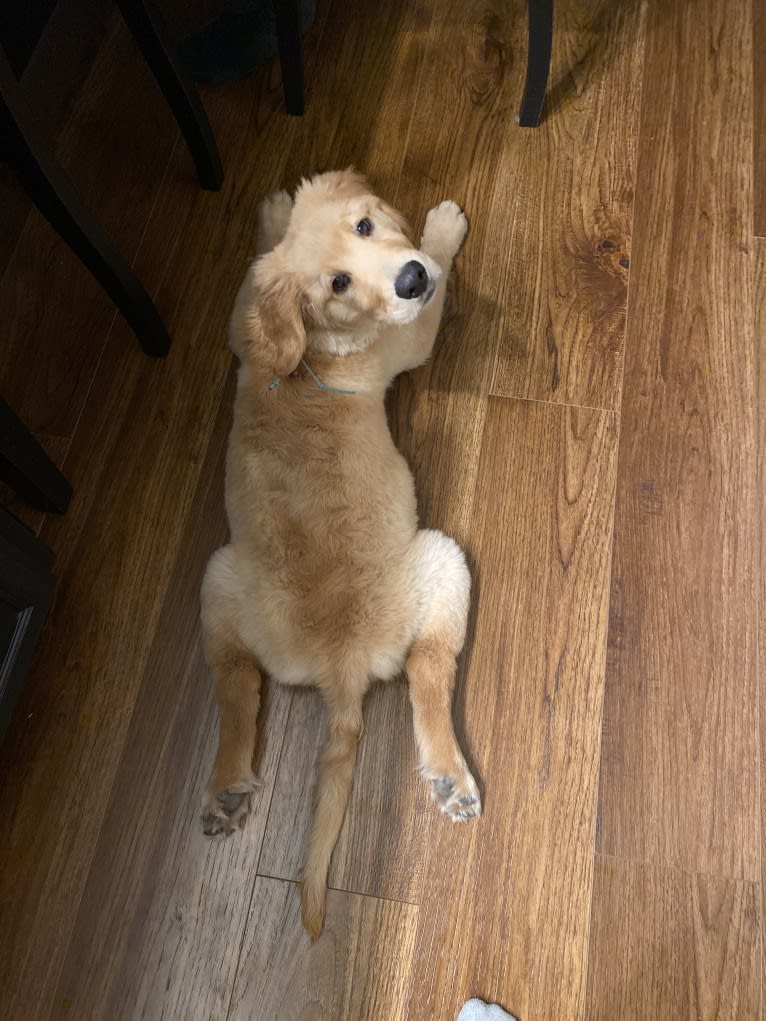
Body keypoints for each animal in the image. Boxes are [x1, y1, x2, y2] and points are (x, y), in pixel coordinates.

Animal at [201, 169, 482, 939]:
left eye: (364, 225)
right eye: (338, 284)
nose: (411, 277)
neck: (312, 349)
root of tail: (342, 665)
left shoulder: (241, 327)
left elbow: (247, 281)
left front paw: (273, 216)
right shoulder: (409, 337)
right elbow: (437, 292)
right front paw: (444, 230)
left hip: (219, 580)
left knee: (236, 682)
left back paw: (225, 788)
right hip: (443, 557)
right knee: (428, 672)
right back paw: (449, 778)